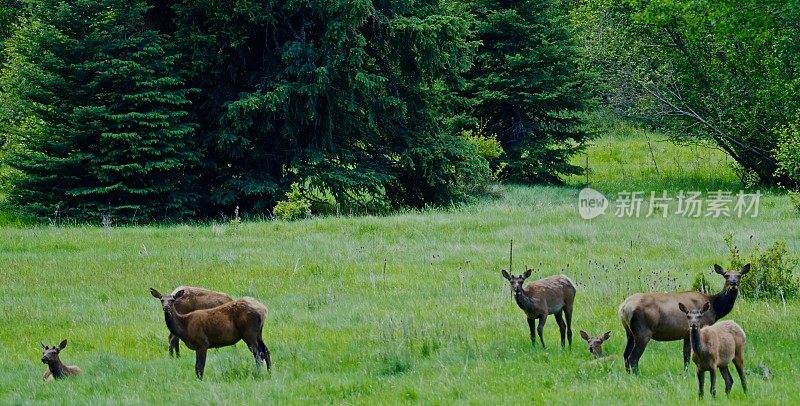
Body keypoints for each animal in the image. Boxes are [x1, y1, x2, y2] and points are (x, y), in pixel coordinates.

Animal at [620, 264, 752, 374]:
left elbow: (686, 356)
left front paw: (685, 373)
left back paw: (629, 374)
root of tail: (623, 307)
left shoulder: (686, 334)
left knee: (625, 354)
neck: (715, 308)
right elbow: (690, 355)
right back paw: (636, 375)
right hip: (643, 330)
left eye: (739, 275)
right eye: (726, 275)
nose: (733, 283)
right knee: (633, 357)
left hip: (630, 332)